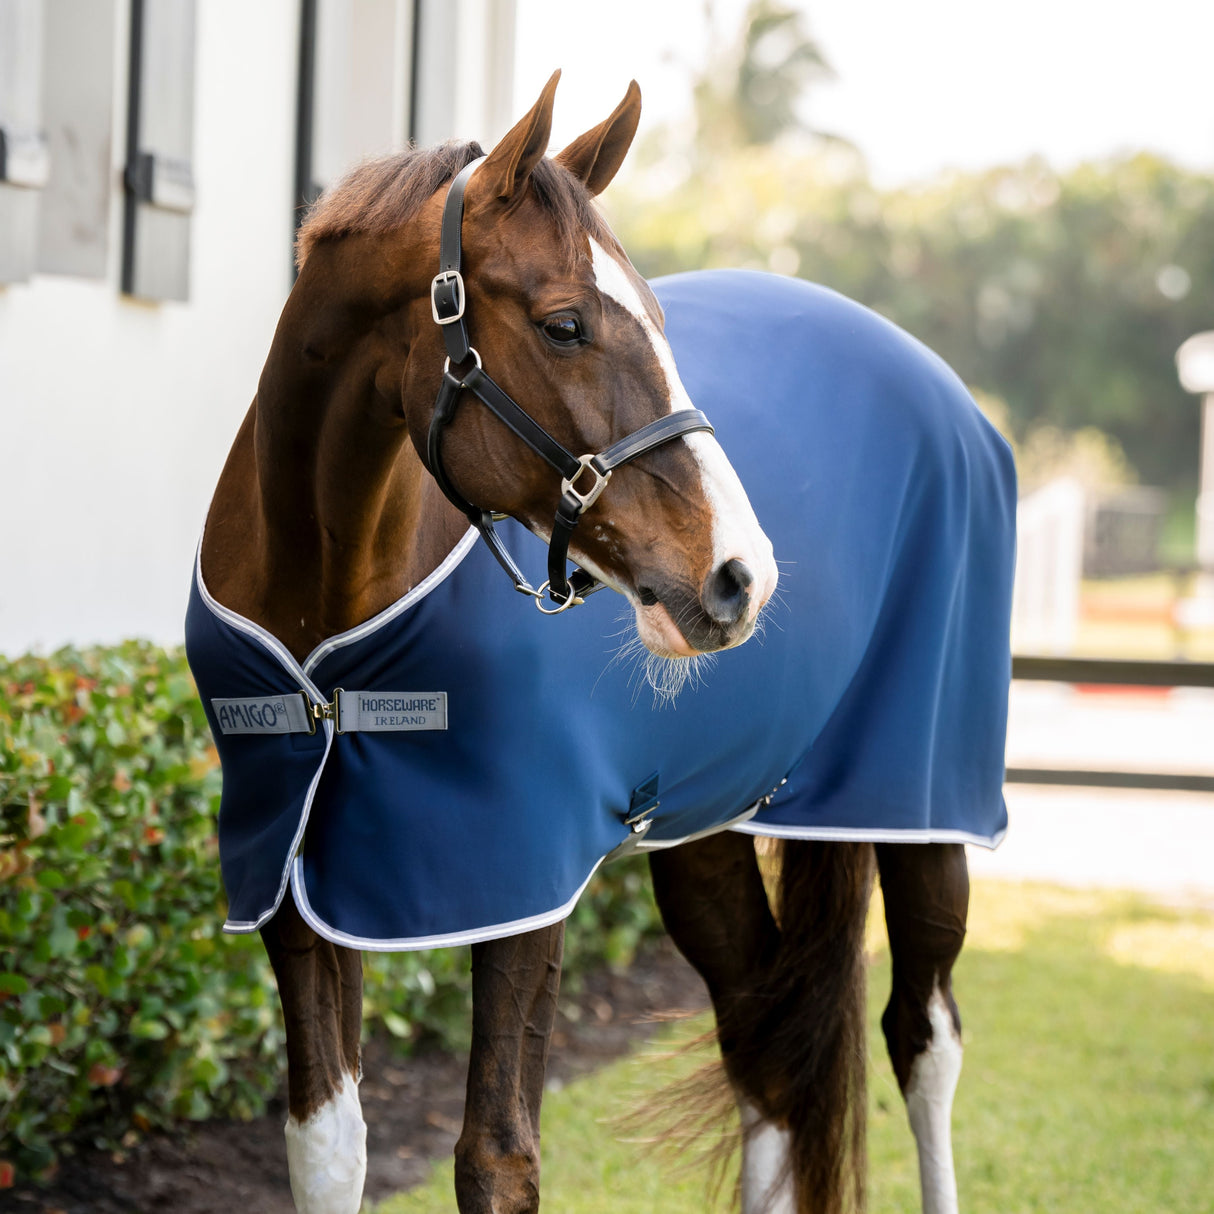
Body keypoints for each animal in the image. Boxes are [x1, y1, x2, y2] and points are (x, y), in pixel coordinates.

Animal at [185, 72, 1015, 1214]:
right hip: (706, 823)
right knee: (765, 1037)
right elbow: (323, 1149)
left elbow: (496, 1159)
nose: (739, 573)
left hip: (920, 800)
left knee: (922, 1037)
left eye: (659, 318)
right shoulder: (291, 879)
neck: (324, 610)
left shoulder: (520, 870)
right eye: (565, 323)